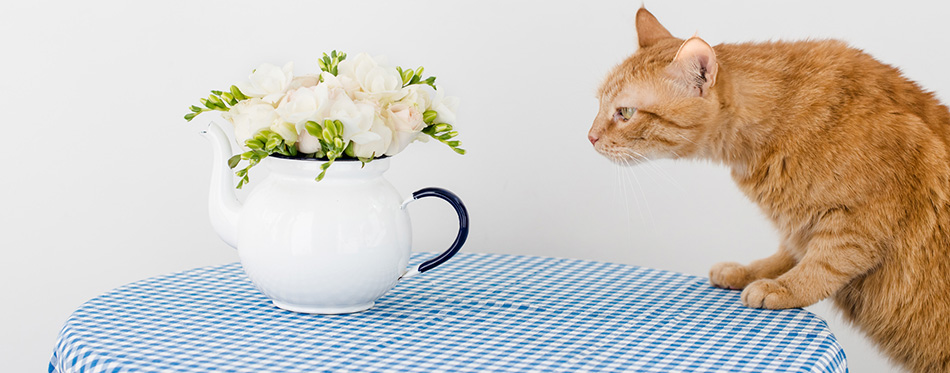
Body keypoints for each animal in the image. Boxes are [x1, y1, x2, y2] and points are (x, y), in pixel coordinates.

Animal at [592, 7, 950, 370]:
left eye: (625, 113)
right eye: (598, 104)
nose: (590, 137)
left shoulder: (861, 221)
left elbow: (823, 264)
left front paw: (785, 288)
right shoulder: (801, 220)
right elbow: (790, 252)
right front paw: (749, 272)